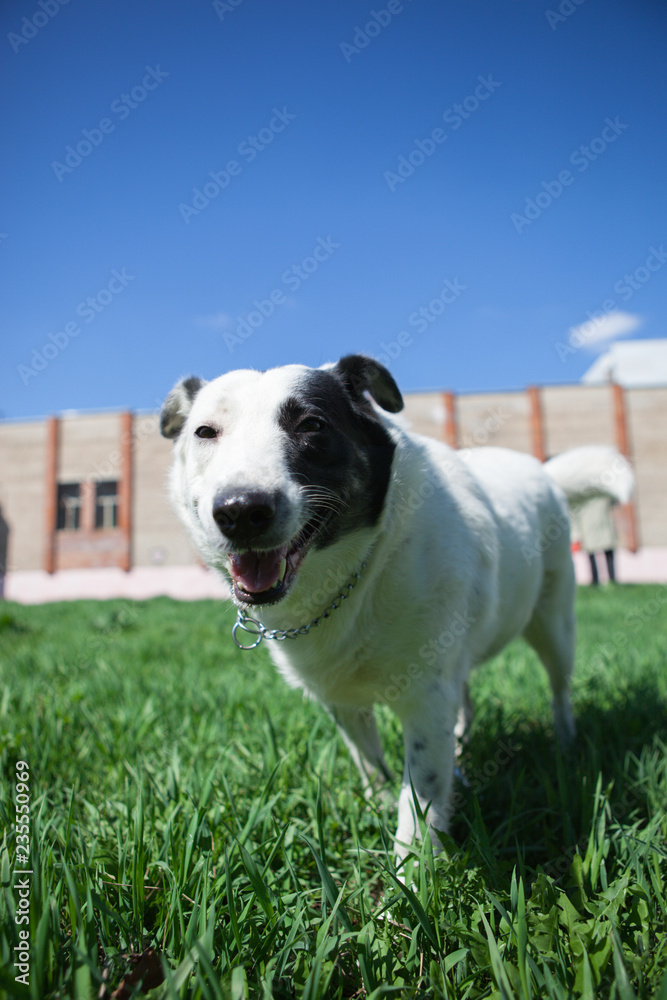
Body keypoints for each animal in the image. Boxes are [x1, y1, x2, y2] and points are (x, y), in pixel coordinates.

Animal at [159, 356, 576, 864]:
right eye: (205, 432)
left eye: (312, 425)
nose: (241, 511)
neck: (362, 571)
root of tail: (544, 472)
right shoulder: (340, 697)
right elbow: (369, 761)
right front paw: (377, 802)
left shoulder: (426, 695)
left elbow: (420, 797)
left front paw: (412, 873)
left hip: (554, 620)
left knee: (559, 687)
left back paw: (565, 744)